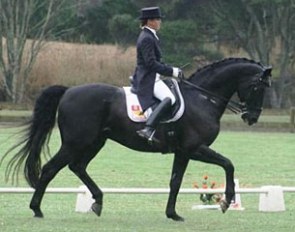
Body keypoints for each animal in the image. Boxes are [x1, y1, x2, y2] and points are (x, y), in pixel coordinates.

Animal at [2, 57, 272, 221]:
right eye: (258, 87)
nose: (252, 117)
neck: (202, 98)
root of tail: (68, 90)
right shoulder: (194, 148)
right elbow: (228, 164)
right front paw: (226, 201)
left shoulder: (183, 152)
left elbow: (175, 181)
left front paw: (172, 214)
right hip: (75, 143)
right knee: (50, 169)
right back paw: (37, 209)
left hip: (95, 142)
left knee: (77, 167)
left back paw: (97, 201)